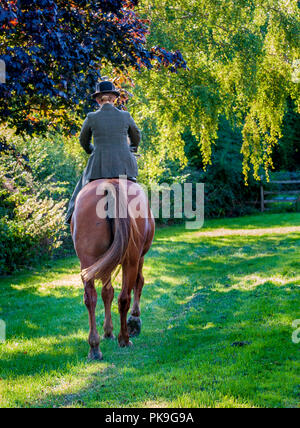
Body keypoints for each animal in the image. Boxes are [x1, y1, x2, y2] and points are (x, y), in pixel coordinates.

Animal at [70, 179, 155, 360]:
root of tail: (109, 183)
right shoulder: (139, 258)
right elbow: (139, 282)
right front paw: (135, 320)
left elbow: (107, 293)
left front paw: (108, 331)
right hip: (131, 260)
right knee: (124, 298)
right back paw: (124, 339)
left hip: (87, 263)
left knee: (90, 299)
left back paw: (94, 347)